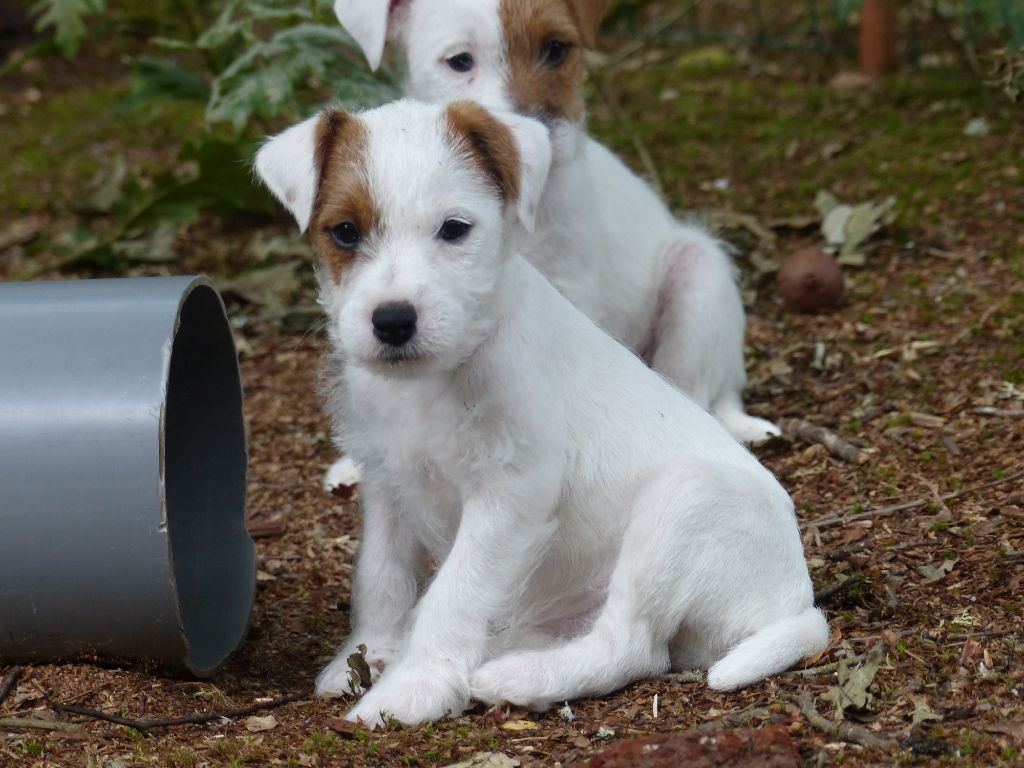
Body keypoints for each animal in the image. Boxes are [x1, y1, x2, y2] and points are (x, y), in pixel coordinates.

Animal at [255, 98, 828, 728]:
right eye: (345, 231)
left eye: (454, 229)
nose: (393, 320)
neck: (436, 379)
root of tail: (797, 600)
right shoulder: (386, 479)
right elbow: (381, 576)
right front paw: (370, 653)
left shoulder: (509, 493)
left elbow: (455, 593)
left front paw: (411, 689)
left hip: (684, 503)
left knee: (631, 646)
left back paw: (521, 677)